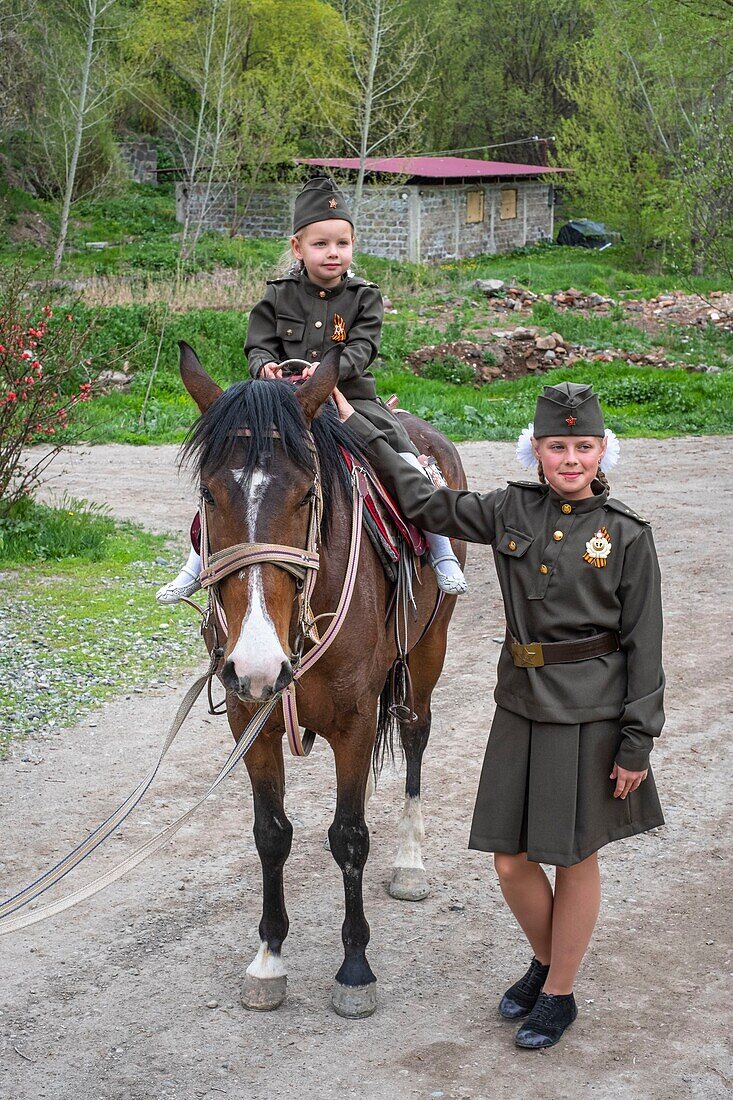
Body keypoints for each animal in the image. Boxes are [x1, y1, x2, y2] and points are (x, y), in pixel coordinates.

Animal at [177, 338, 462, 1016]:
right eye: (209, 494)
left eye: (307, 495)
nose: (257, 663)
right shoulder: (246, 718)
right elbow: (271, 834)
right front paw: (268, 958)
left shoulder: (355, 723)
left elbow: (349, 836)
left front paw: (355, 968)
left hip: (428, 654)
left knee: (416, 736)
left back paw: (410, 862)